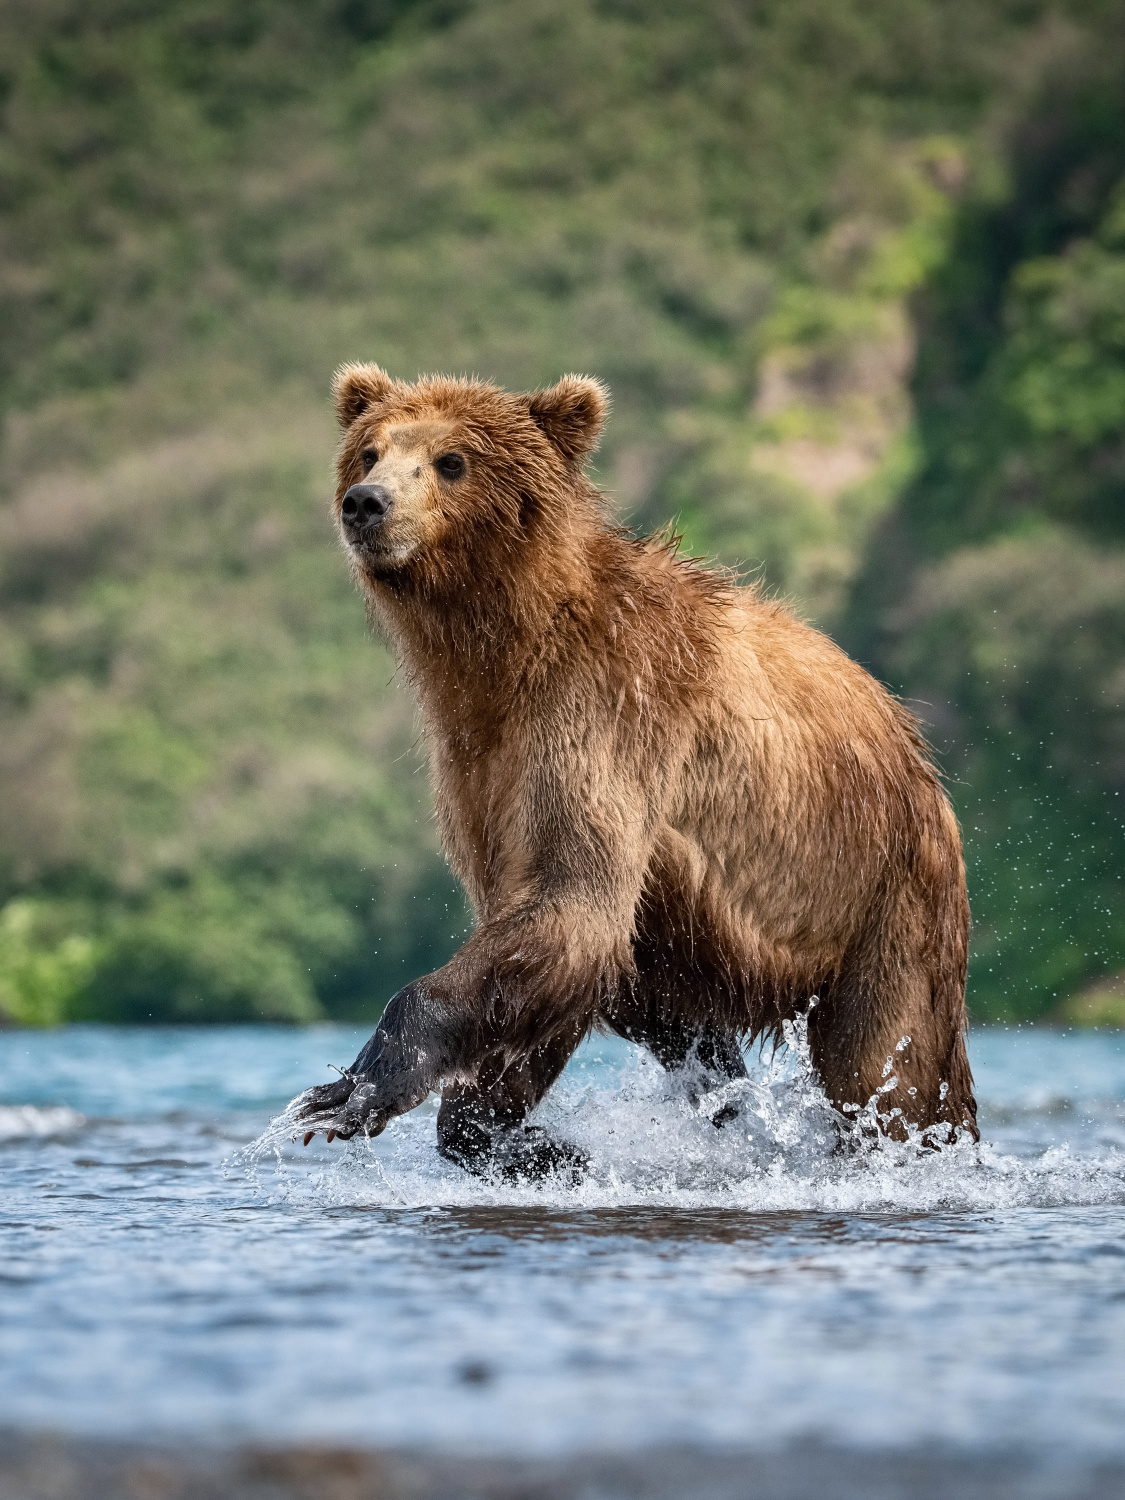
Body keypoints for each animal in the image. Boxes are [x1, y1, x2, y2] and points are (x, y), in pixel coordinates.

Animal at [291, 363, 978, 1170]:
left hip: (881, 894)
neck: (501, 650)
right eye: (370, 451)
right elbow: (554, 946)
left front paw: (348, 1090)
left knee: (890, 1064)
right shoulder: (480, 766)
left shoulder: (603, 715)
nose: (366, 503)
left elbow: (572, 900)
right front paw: (523, 1139)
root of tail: (915, 747)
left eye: (450, 460)